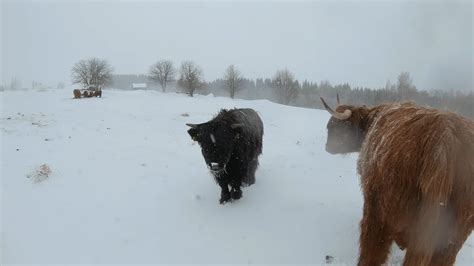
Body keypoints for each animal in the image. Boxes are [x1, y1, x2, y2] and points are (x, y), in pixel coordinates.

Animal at [320, 96, 472, 264]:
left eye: (333, 126)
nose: (327, 147)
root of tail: (443, 140)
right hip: (452, 234)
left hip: (381, 210)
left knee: (373, 247)